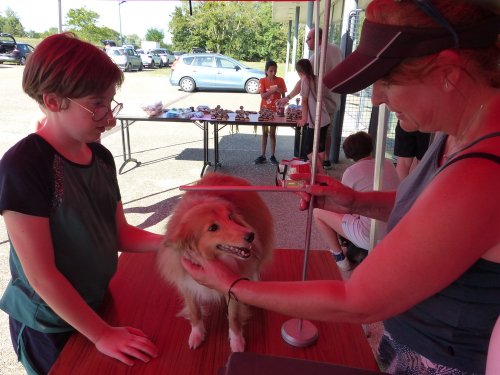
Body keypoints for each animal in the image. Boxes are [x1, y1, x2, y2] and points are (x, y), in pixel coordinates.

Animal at [157, 173, 276, 352]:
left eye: (230, 217)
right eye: (213, 228)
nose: (251, 235)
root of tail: (222, 174)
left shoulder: (231, 288)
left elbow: (234, 318)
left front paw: (237, 342)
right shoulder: (187, 284)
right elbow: (195, 312)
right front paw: (197, 334)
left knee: (255, 266)